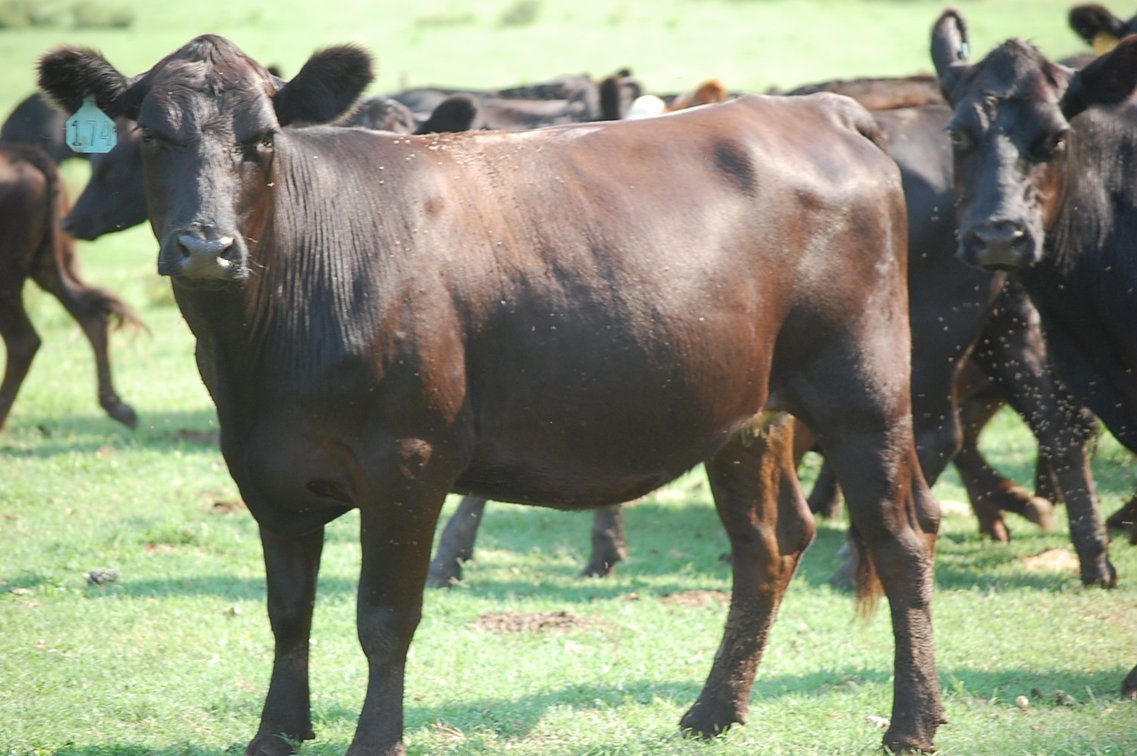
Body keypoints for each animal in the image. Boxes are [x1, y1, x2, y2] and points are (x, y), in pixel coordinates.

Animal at [0, 142, 141, 430]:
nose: (72, 223)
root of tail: (22, 154)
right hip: (44, 266)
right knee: (91, 316)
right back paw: (119, 408)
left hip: (8, 277)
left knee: (23, 342)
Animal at [40, 35, 944, 754]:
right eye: (151, 135)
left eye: (263, 139)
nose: (206, 247)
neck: (261, 352)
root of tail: (820, 110)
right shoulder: (265, 466)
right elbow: (287, 611)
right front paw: (275, 734)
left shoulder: (406, 461)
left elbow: (384, 617)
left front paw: (375, 741)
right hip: (744, 415)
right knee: (768, 543)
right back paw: (712, 712)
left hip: (866, 395)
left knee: (900, 539)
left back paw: (911, 724)